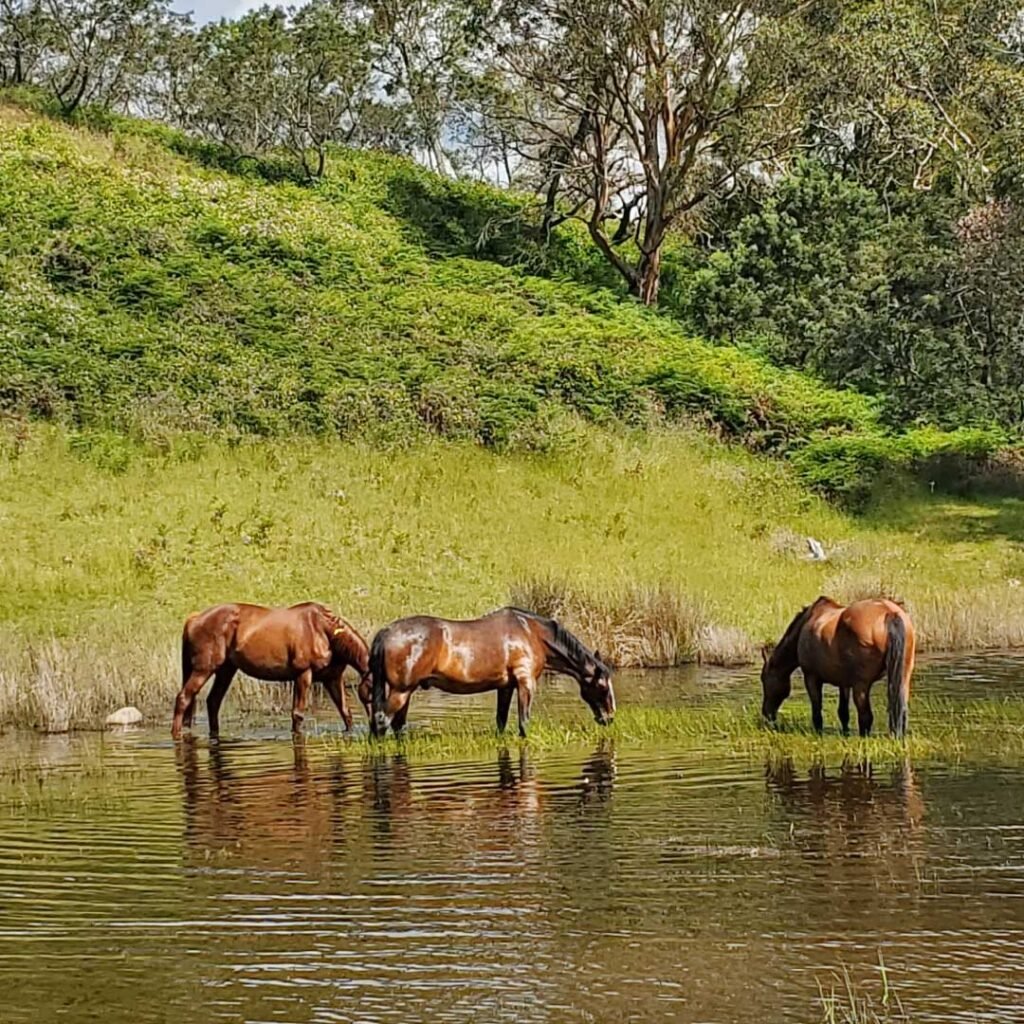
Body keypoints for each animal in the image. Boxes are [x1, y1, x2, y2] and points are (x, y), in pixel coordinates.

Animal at [172, 598, 372, 737]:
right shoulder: (303, 675)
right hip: (204, 669)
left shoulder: (333, 678)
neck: (323, 631)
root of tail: (195, 619)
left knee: (213, 702)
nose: (376, 723)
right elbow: (298, 714)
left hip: (226, 670)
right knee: (183, 698)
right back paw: (176, 734)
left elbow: (345, 712)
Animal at [370, 602, 614, 741]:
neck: (532, 633)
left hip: (405, 692)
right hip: (401, 690)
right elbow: (524, 722)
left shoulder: (505, 686)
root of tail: (386, 632)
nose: (609, 718)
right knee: (382, 720)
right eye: (601, 687)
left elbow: (501, 721)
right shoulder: (526, 683)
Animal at [757, 598, 917, 741]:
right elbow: (843, 712)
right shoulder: (843, 682)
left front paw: (818, 732)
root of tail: (889, 613)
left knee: (865, 716)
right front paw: (845, 732)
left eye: (764, 680)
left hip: (861, 685)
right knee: (901, 711)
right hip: (903, 678)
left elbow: (817, 710)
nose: (766, 714)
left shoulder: (811, 677)